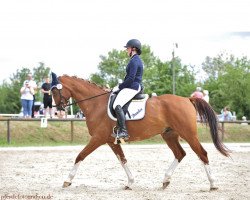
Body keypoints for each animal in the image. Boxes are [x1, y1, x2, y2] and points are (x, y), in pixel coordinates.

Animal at [51, 72, 230, 190]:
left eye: (53, 91)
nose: (58, 109)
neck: (96, 104)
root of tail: (187, 99)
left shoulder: (98, 138)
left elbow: (80, 155)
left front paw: (67, 180)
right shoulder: (111, 140)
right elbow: (122, 160)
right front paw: (130, 182)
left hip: (189, 134)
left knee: (202, 154)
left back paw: (213, 184)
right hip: (169, 134)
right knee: (180, 154)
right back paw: (165, 180)